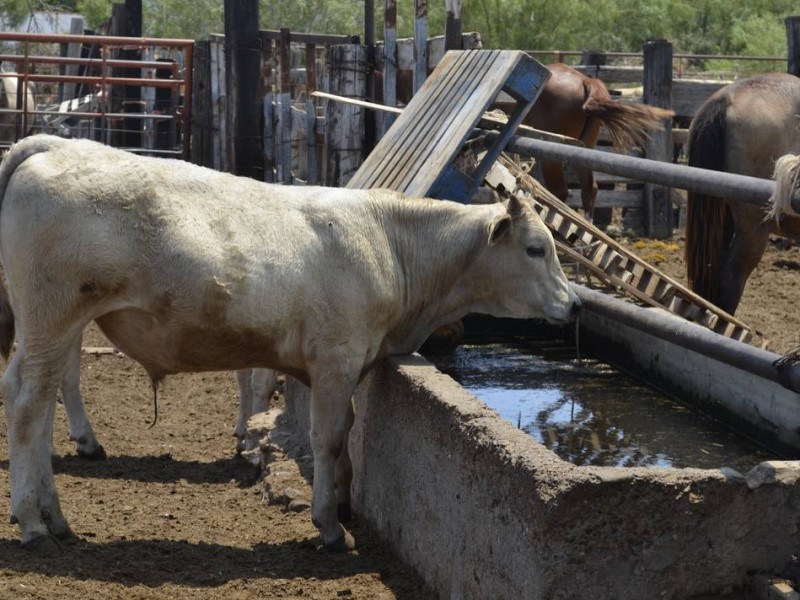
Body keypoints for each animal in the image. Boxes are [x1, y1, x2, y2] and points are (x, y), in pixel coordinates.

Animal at [0, 135, 580, 552]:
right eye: (536, 248)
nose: (574, 305)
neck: (390, 244)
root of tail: (51, 145)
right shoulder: (335, 360)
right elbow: (328, 438)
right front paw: (330, 526)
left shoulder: (348, 364)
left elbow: (346, 435)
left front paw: (342, 503)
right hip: (54, 319)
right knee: (30, 406)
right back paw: (34, 523)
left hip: (48, 329)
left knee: (33, 397)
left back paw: (54, 517)